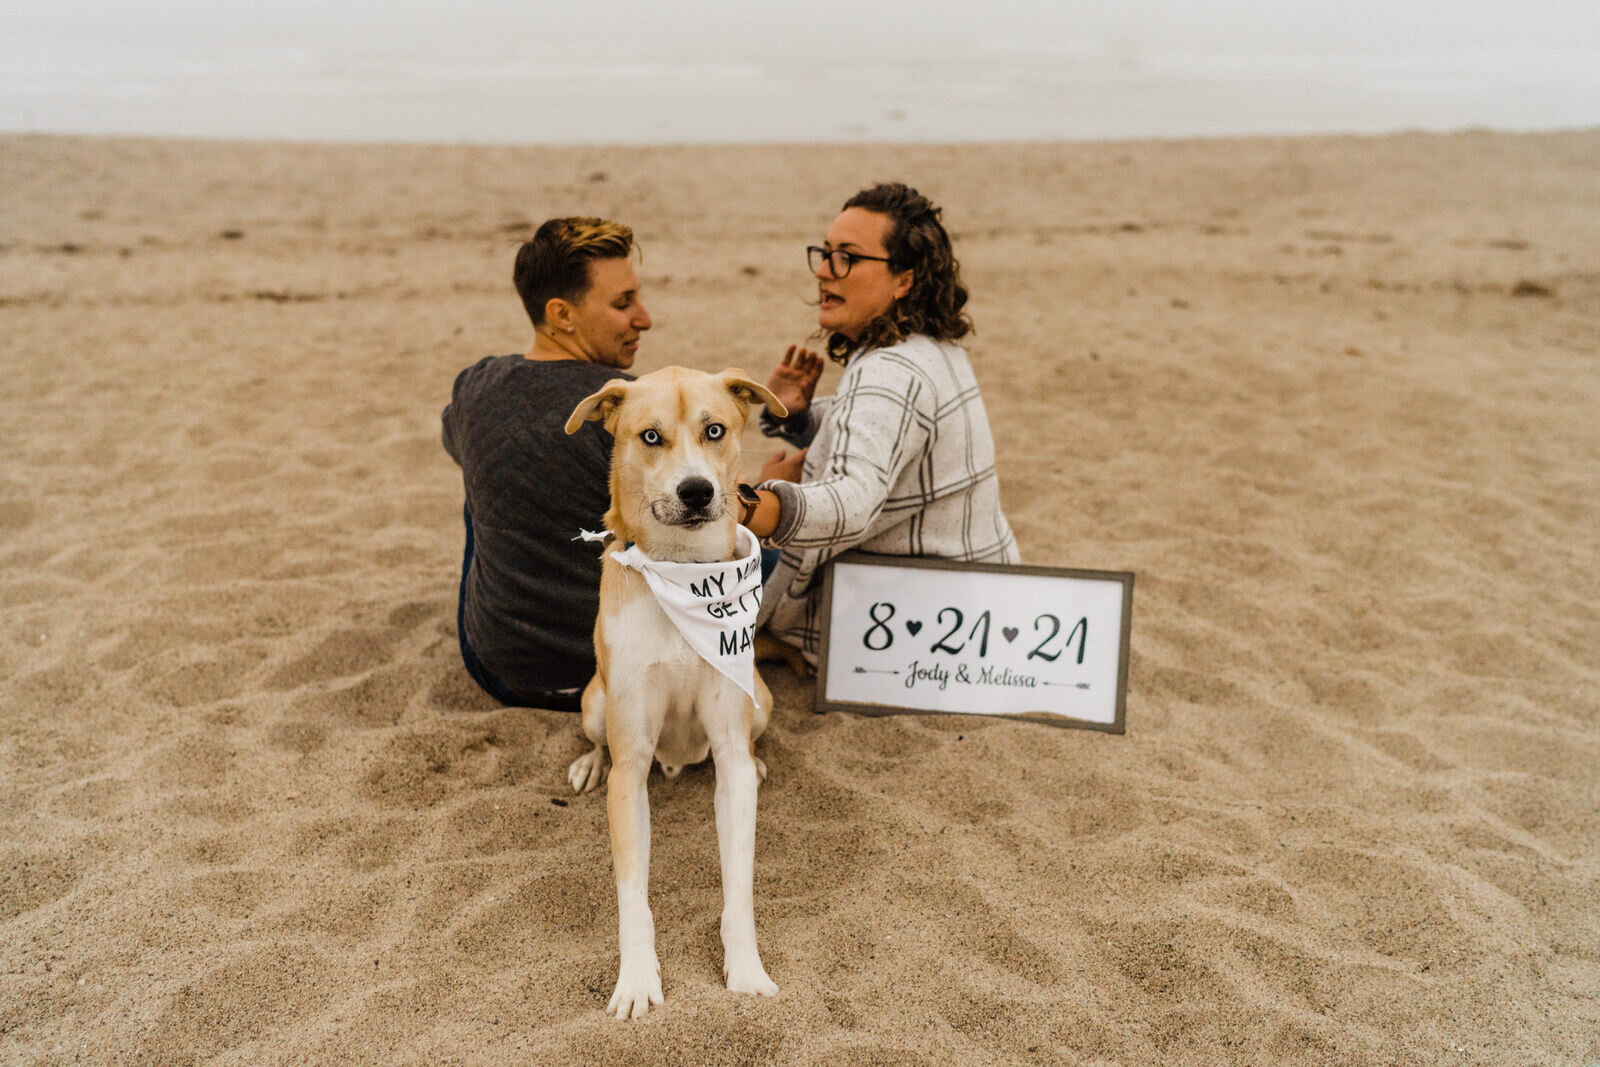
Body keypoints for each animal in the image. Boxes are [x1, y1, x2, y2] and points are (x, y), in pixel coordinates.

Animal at [563, 364, 787, 1017]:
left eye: (715, 430)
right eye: (650, 436)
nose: (696, 492)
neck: (686, 572)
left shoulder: (730, 747)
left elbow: (739, 886)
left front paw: (746, 971)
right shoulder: (632, 763)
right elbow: (633, 898)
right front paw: (637, 981)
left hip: (760, 699)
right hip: (597, 702)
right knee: (598, 742)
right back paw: (589, 765)